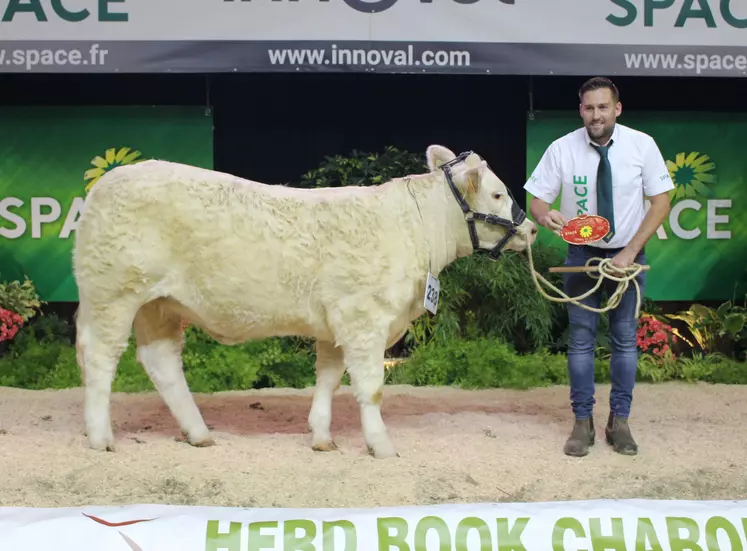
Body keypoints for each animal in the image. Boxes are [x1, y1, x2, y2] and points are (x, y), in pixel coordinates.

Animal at [73, 144, 536, 460]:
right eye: (498, 194)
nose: (531, 229)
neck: (416, 229)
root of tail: (106, 184)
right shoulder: (364, 318)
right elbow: (371, 387)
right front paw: (381, 445)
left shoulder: (337, 323)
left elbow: (328, 378)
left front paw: (322, 438)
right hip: (112, 294)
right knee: (99, 357)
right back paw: (100, 437)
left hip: (159, 304)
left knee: (161, 361)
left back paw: (198, 433)